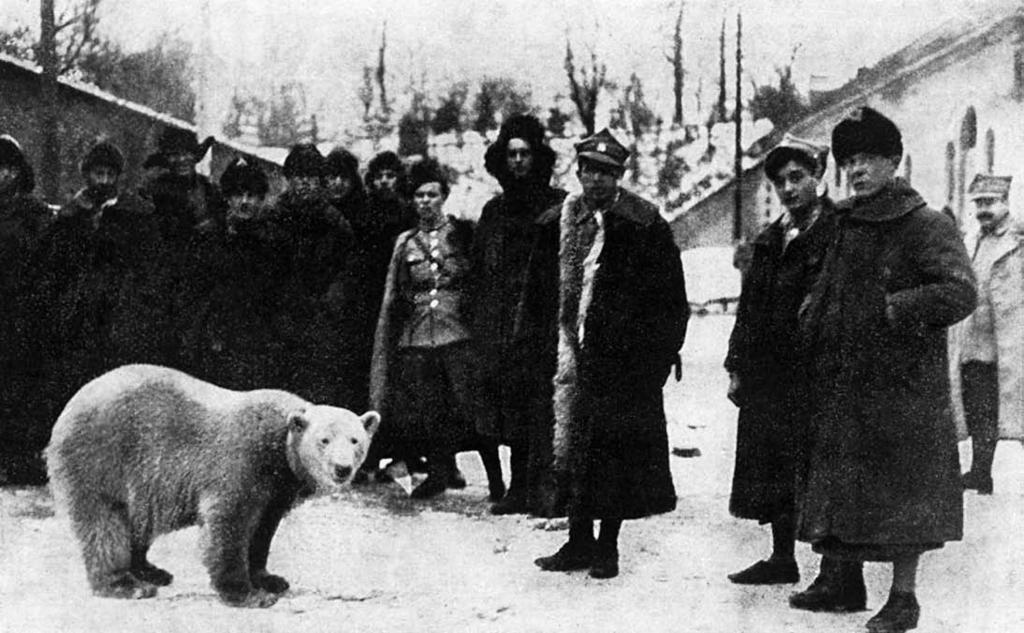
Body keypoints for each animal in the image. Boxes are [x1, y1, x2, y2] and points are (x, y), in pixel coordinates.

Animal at [45, 364, 380, 606]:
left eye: (355, 440)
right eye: (324, 440)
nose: (342, 468)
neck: (279, 450)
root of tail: (66, 410)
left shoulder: (278, 489)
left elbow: (263, 529)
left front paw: (270, 579)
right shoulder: (243, 461)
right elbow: (228, 522)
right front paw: (249, 594)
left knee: (138, 522)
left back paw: (152, 571)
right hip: (101, 458)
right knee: (104, 522)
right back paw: (126, 585)